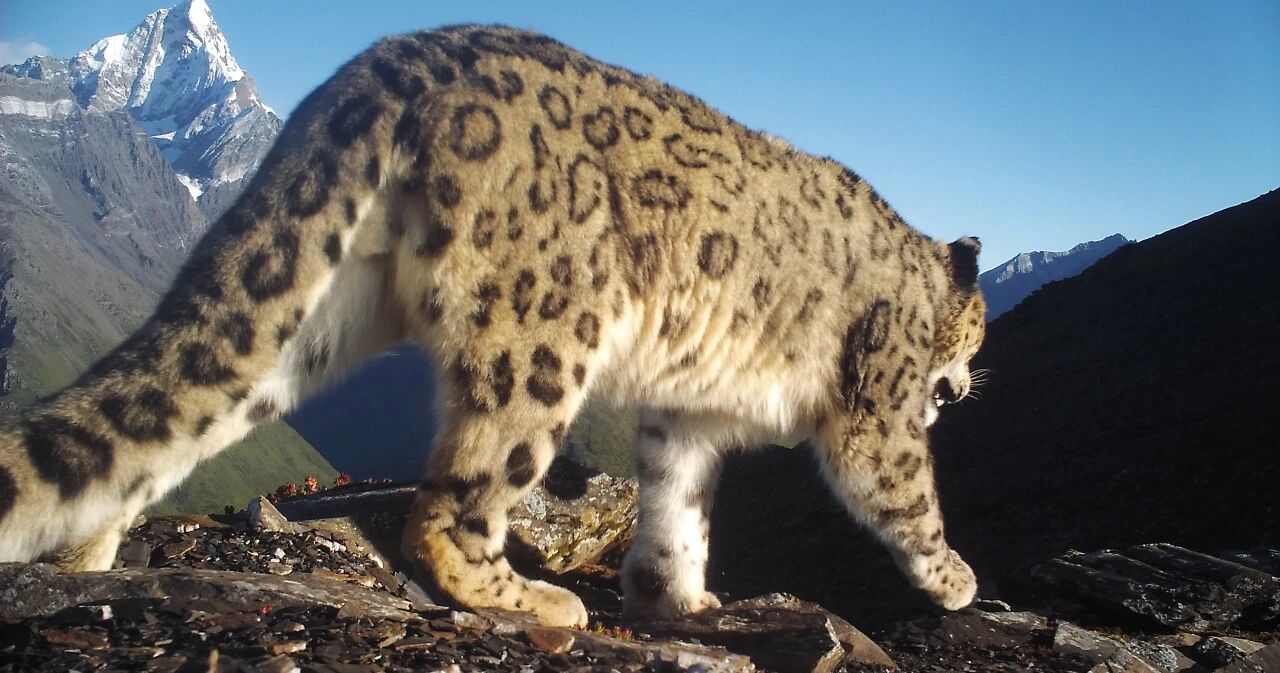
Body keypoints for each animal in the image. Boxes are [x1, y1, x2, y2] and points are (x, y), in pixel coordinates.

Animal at [0, 25, 986, 628]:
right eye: (976, 335)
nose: (967, 384)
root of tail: (397, 55)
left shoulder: (688, 413)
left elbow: (680, 502)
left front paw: (673, 595)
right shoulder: (877, 408)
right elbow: (905, 493)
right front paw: (957, 579)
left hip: (316, 317)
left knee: (173, 414)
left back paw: (84, 563)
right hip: (544, 338)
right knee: (448, 509)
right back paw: (536, 598)